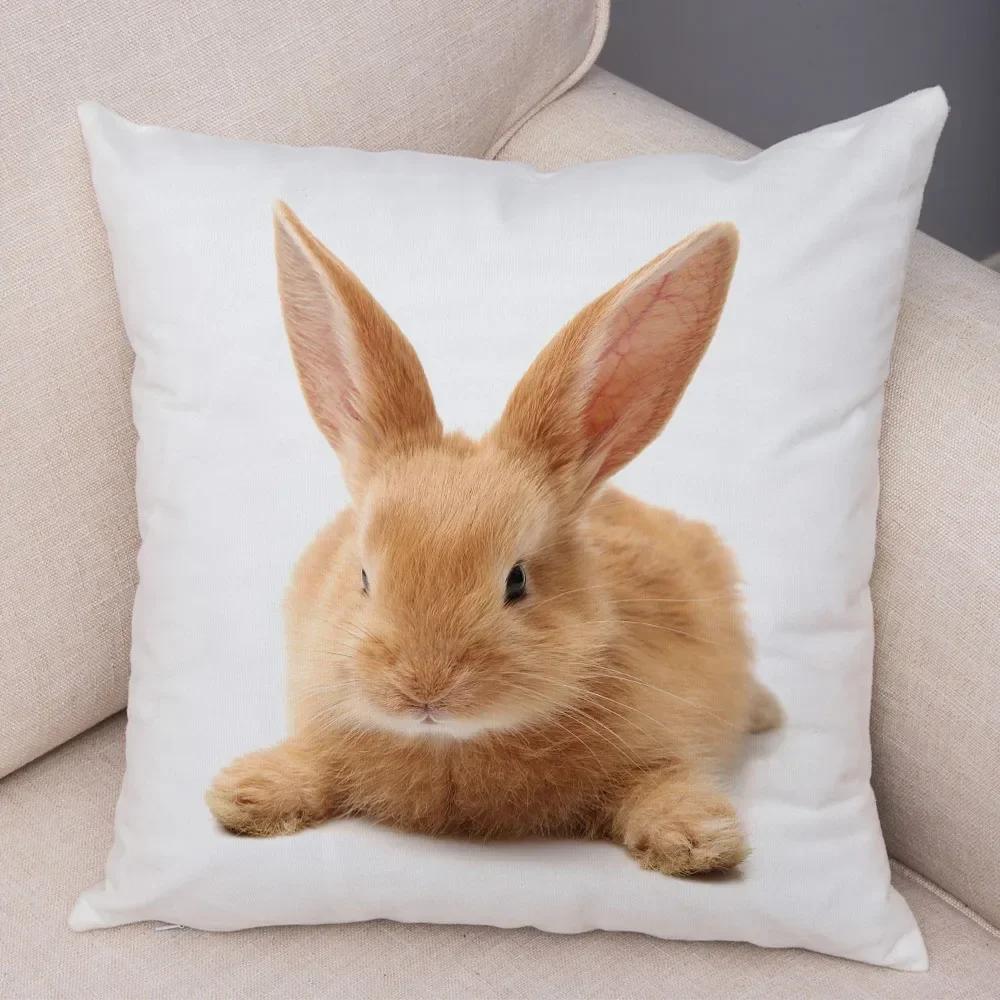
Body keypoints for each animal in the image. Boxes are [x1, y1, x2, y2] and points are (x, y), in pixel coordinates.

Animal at [206, 201, 782, 877]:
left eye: (517, 580)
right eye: (364, 578)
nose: (425, 691)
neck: (452, 747)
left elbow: (662, 781)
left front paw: (700, 840)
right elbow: (312, 762)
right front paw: (246, 794)